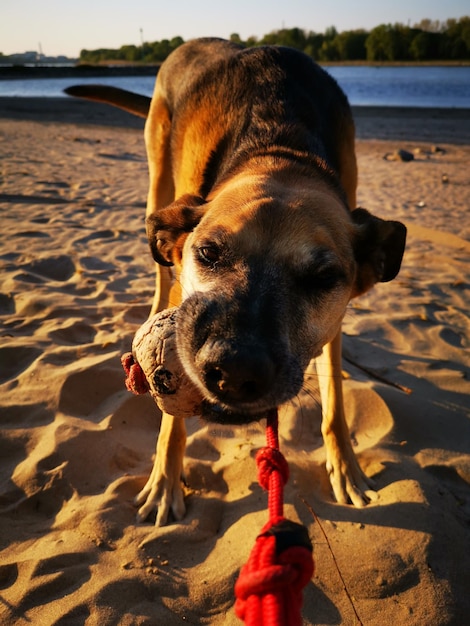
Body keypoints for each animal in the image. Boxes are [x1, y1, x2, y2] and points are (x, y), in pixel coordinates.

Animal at [64, 39, 406, 524]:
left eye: (323, 277)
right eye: (208, 253)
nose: (235, 371)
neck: (282, 153)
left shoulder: (334, 323)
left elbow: (336, 403)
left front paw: (347, 469)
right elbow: (171, 422)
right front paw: (165, 481)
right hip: (158, 180)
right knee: (160, 273)